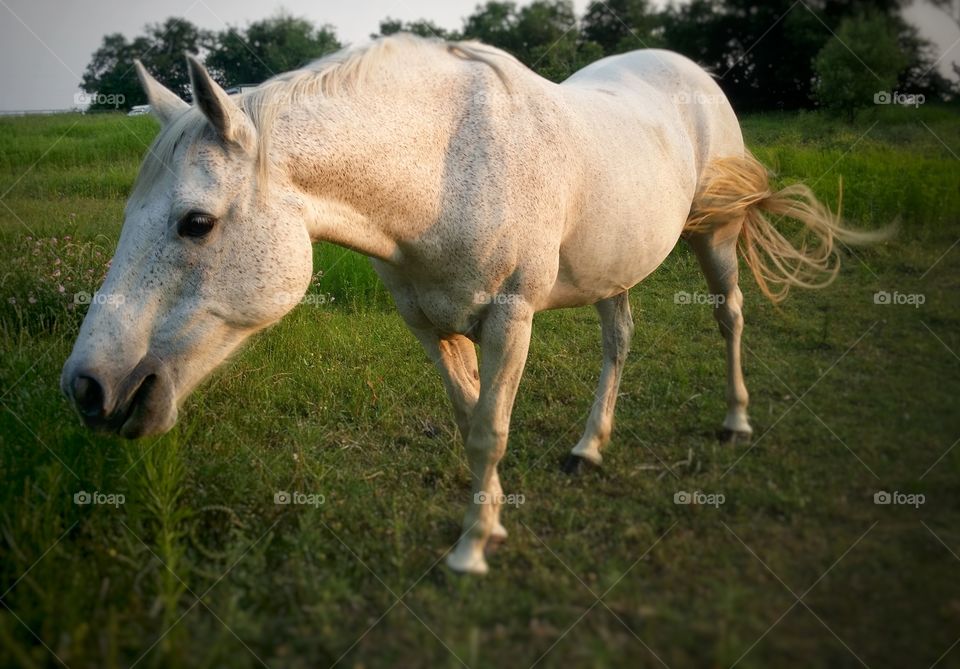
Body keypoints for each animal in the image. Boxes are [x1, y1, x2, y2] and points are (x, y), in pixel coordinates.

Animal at [62, 35, 876, 576]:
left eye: (195, 222)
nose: (89, 388)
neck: (447, 166)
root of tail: (693, 73)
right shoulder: (430, 325)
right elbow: (469, 419)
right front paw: (493, 519)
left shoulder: (509, 319)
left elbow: (490, 430)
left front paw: (471, 552)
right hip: (614, 269)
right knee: (619, 340)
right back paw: (588, 447)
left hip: (716, 236)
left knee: (729, 317)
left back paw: (736, 420)